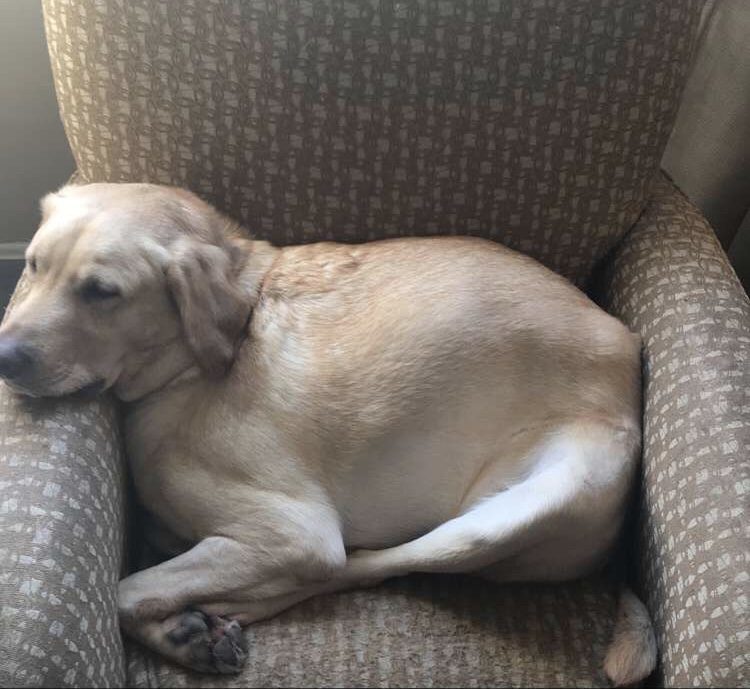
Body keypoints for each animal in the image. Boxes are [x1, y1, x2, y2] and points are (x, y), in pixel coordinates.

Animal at [0, 181, 656, 684]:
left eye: (102, 292)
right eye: (32, 265)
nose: (4, 356)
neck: (193, 363)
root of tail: (627, 352)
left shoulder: (291, 533)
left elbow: (128, 590)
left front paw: (189, 623)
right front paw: (190, 633)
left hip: (513, 512)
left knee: (360, 567)